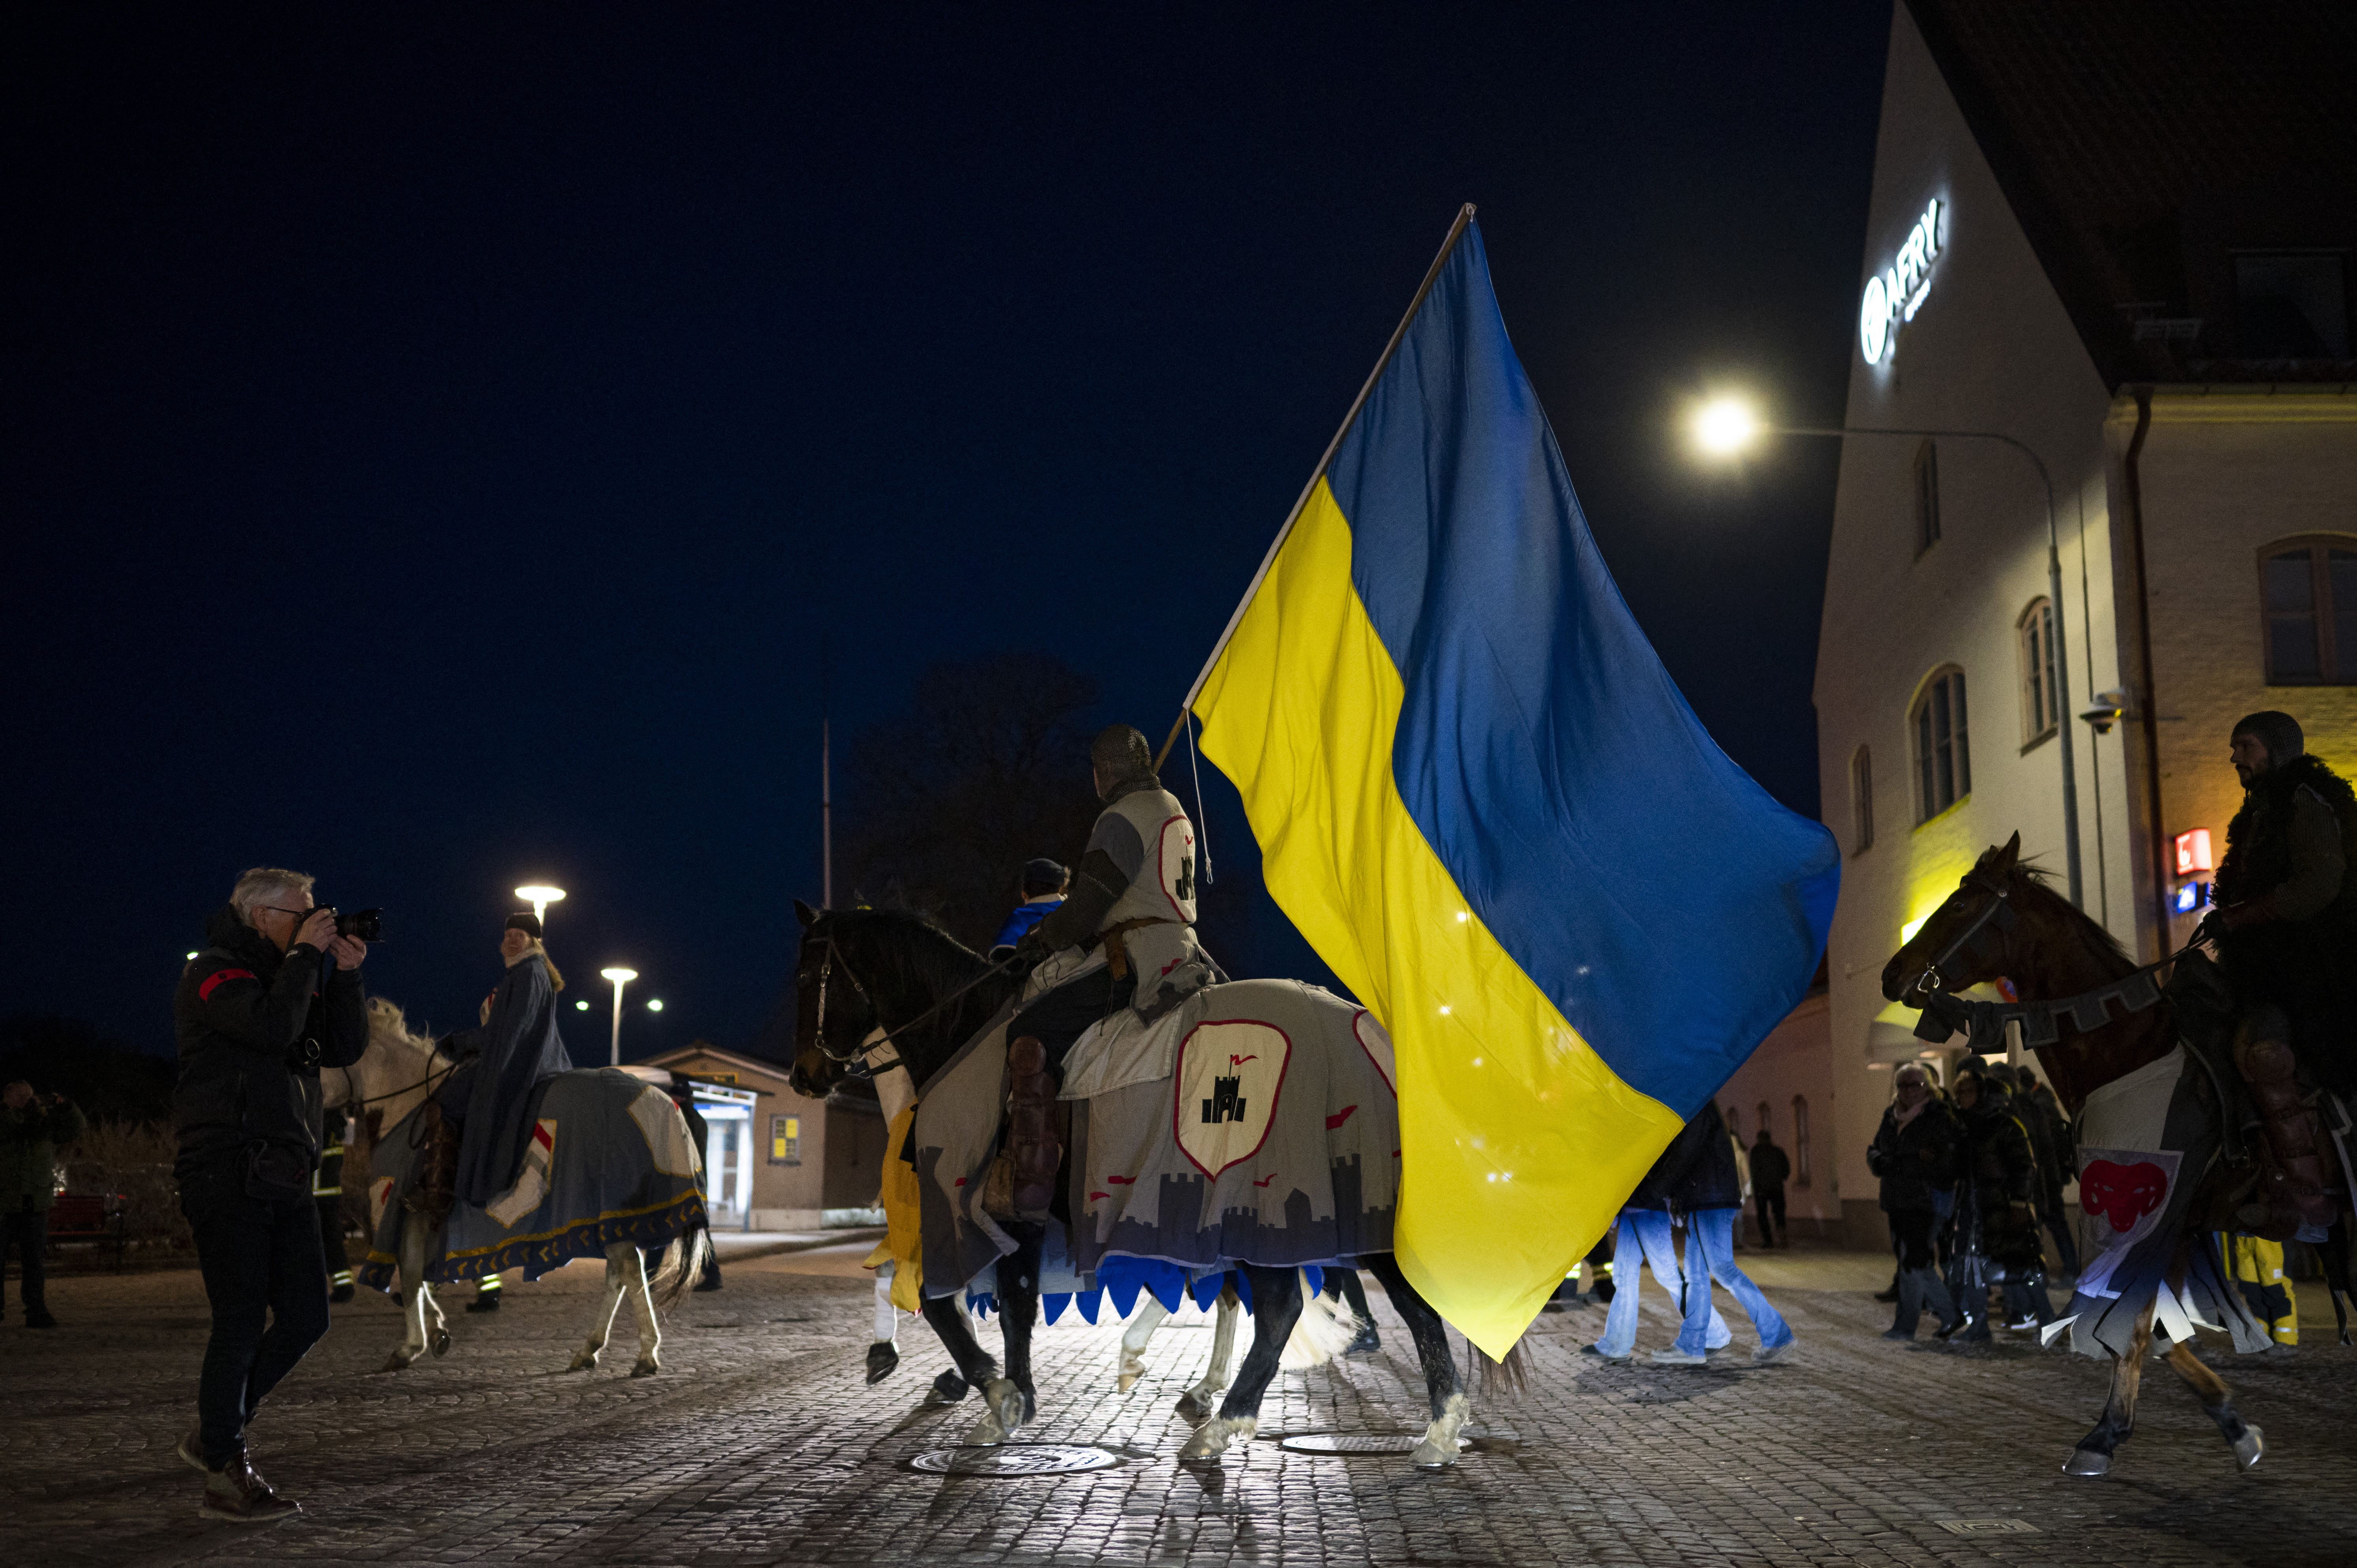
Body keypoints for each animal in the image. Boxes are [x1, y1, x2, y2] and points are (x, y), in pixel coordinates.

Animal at [327, 995, 702, 1377]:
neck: (405, 1105)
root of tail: (662, 1103)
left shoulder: (400, 1214)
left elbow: (410, 1279)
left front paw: (412, 1346)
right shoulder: (415, 1223)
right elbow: (416, 1280)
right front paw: (434, 1333)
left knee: (627, 1270)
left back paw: (646, 1354)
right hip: (611, 1219)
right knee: (617, 1274)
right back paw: (590, 1350)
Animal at [1866, 830, 2348, 1481]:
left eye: (1962, 905)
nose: (1893, 973)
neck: (2128, 1048)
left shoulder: (2151, 1218)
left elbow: (2137, 1322)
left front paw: (2103, 1435)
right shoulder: (2176, 1226)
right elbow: (2160, 1332)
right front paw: (2231, 1422)